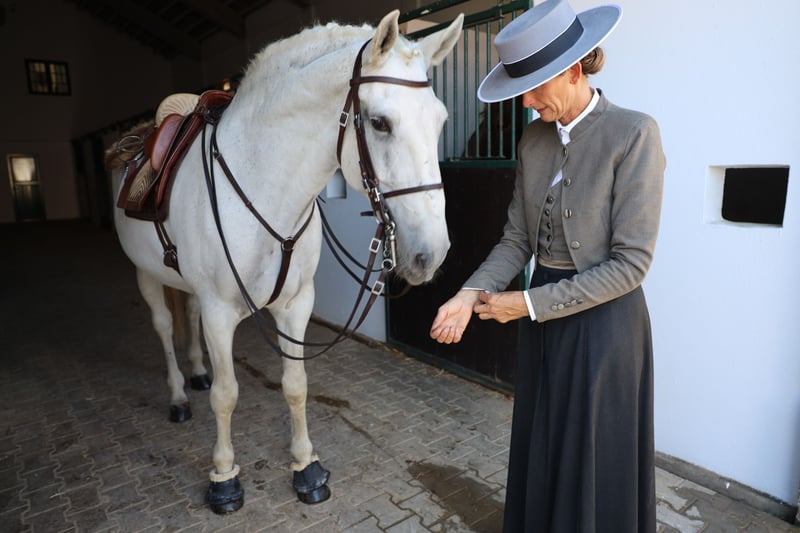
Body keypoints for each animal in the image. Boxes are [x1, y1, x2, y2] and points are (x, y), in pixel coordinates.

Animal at [108, 10, 464, 514]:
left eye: (440, 121)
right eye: (379, 122)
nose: (430, 253)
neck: (262, 185)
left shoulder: (296, 304)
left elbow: (296, 384)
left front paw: (306, 468)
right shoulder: (220, 312)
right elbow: (227, 396)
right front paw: (224, 479)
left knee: (187, 318)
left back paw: (195, 373)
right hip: (146, 274)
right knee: (162, 327)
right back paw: (178, 395)